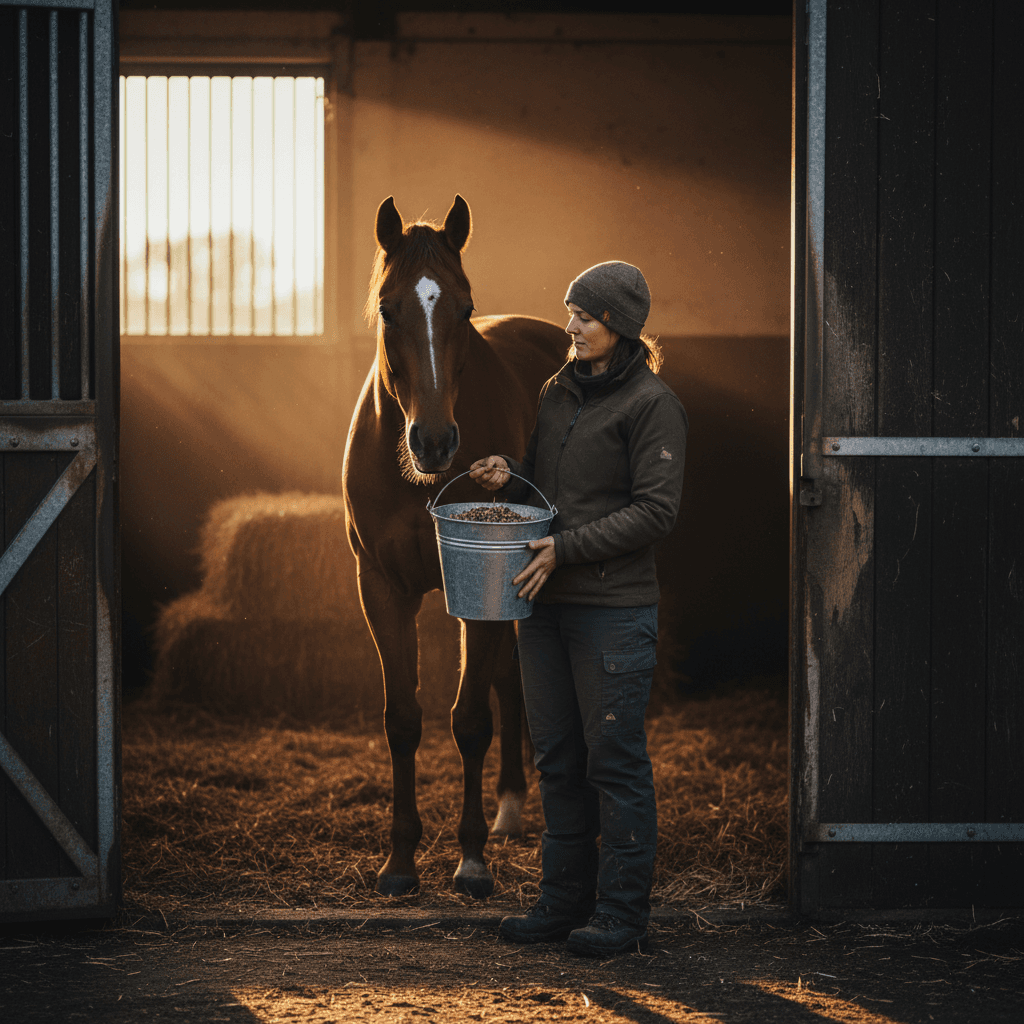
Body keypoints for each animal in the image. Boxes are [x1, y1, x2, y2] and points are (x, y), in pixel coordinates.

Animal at [342, 195, 567, 897]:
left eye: (465, 308)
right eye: (388, 308)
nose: (435, 441)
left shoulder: (483, 588)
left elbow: (469, 722)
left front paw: (470, 862)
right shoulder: (382, 589)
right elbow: (403, 721)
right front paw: (399, 863)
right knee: (511, 680)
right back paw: (511, 808)